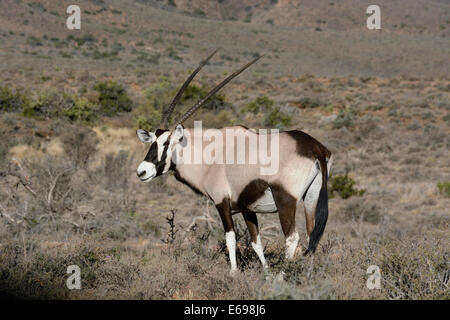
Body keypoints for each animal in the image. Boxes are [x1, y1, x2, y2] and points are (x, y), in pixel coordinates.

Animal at [135, 49, 332, 272]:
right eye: (152, 141)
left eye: (167, 143)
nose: (142, 171)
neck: (209, 156)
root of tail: (315, 148)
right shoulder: (247, 209)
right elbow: (256, 242)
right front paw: (265, 273)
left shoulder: (222, 202)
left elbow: (230, 237)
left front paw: (233, 272)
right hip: (311, 197)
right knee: (312, 234)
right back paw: (307, 274)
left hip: (286, 200)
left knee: (292, 238)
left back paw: (283, 275)